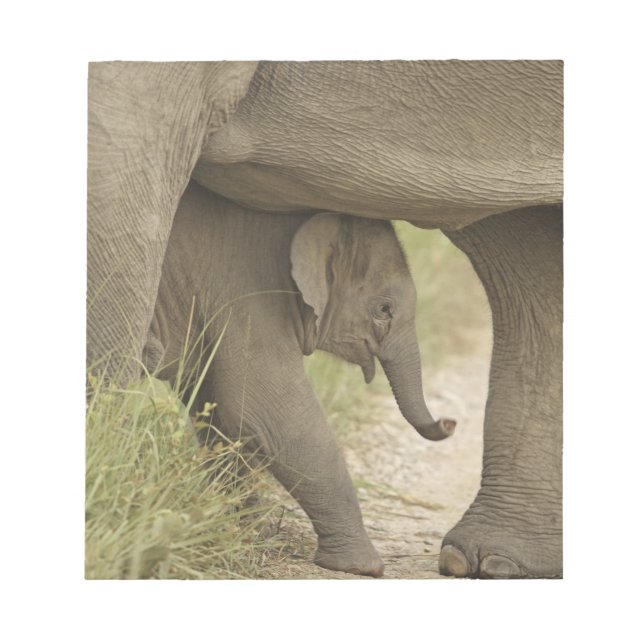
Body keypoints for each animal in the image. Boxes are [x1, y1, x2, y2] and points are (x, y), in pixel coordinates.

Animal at [144, 180, 455, 577]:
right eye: (384, 310)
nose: (449, 422)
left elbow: (217, 412)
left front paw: (245, 531)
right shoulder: (249, 294)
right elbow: (269, 411)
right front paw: (364, 567)